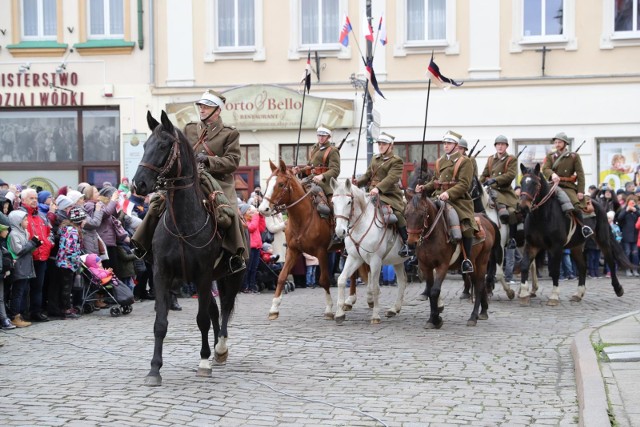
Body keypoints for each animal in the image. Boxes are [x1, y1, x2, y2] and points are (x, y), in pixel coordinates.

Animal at [131, 111, 244, 388]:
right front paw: (154, 369)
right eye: (144, 145)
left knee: (224, 309)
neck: (182, 223)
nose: (138, 184)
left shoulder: (203, 274)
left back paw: (220, 349)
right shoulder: (162, 274)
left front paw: (203, 363)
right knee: (215, 310)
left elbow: (202, 319)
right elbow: (160, 323)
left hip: (230, 277)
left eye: (163, 145)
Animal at [258, 160, 368, 320]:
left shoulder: (321, 252)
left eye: (280, 184)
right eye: (267, 182)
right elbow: (282, 277)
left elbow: (324, 280)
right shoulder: (292, 251)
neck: (302, 218)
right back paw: (349, 301)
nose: (263, 209)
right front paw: (274, 308)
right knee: (352, 272)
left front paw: (329, 309)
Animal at [332, 179, 408, 326]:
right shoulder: (354, 258)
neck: (362, 224)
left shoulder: (375, 260)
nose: (340, 231)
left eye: (349, 202)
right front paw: (339, 314)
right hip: (398, 260)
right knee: (402, 281)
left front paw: (375, 316)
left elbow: (375, 287)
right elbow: (342, 279)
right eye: (333, 202)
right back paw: (394, 309)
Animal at [404, 196, 500, 330]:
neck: (433, 236)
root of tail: (485, 219)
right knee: (478, 283)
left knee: (480, 286)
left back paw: (473, 317)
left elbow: (435, 291)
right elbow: (430, 291)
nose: (411, 243)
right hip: (473, 265)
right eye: (406, 215)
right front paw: (434, 318)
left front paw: (435, 319)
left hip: (482, 261)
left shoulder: (442, 266)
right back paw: (483, 311)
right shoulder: (426, 267)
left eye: (422, 215)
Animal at [516, 162, 628, 306]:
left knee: (610, 262)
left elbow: (555, 270)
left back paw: (618, 288)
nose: (522, 207)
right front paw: (524, 294)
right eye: (521, 182)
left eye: (535, 183)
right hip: (576, 246)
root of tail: (595, 200)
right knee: (582, 266)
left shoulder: (556, 247)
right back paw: (578, 294)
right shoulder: (532, 245)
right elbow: (525, 265)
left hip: (602, 240)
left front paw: (554, 296)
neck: (542, 216)